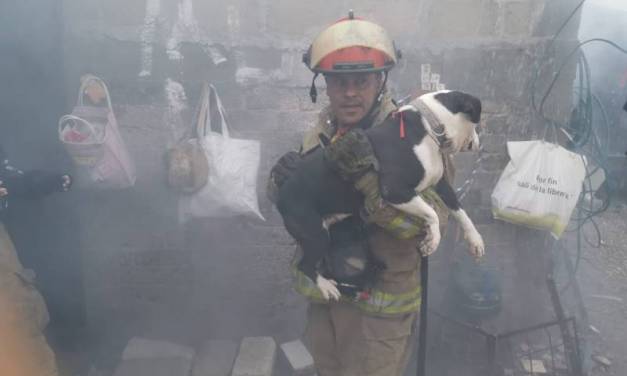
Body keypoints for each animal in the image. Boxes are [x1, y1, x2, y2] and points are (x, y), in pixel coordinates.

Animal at [278, 90, 488, 300]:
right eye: (476, 125)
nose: (479, 144)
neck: (431, 127)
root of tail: (281, 194)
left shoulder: (441, 184)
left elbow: (459, 210)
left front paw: (475, 239)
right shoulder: (394, 191)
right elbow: (432, 213)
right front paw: (433, 240)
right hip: (315, 234)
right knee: (305, 265)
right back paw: (326, 286)